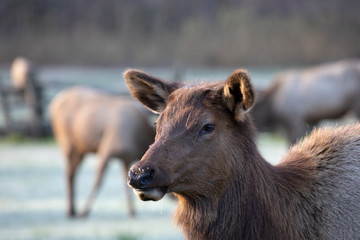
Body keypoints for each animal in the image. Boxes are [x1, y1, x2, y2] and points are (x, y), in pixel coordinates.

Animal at [49, 86, 155, 218]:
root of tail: (54, 103)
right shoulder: (107, 150)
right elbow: (98, 181)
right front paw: (84, 212)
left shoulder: (126, 158)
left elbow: (127, 184)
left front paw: (132, 212)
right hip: (66, 143)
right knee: (69, 173)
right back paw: (71, 211)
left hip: (80, 149)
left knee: (72, 173)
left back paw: (72, 210)